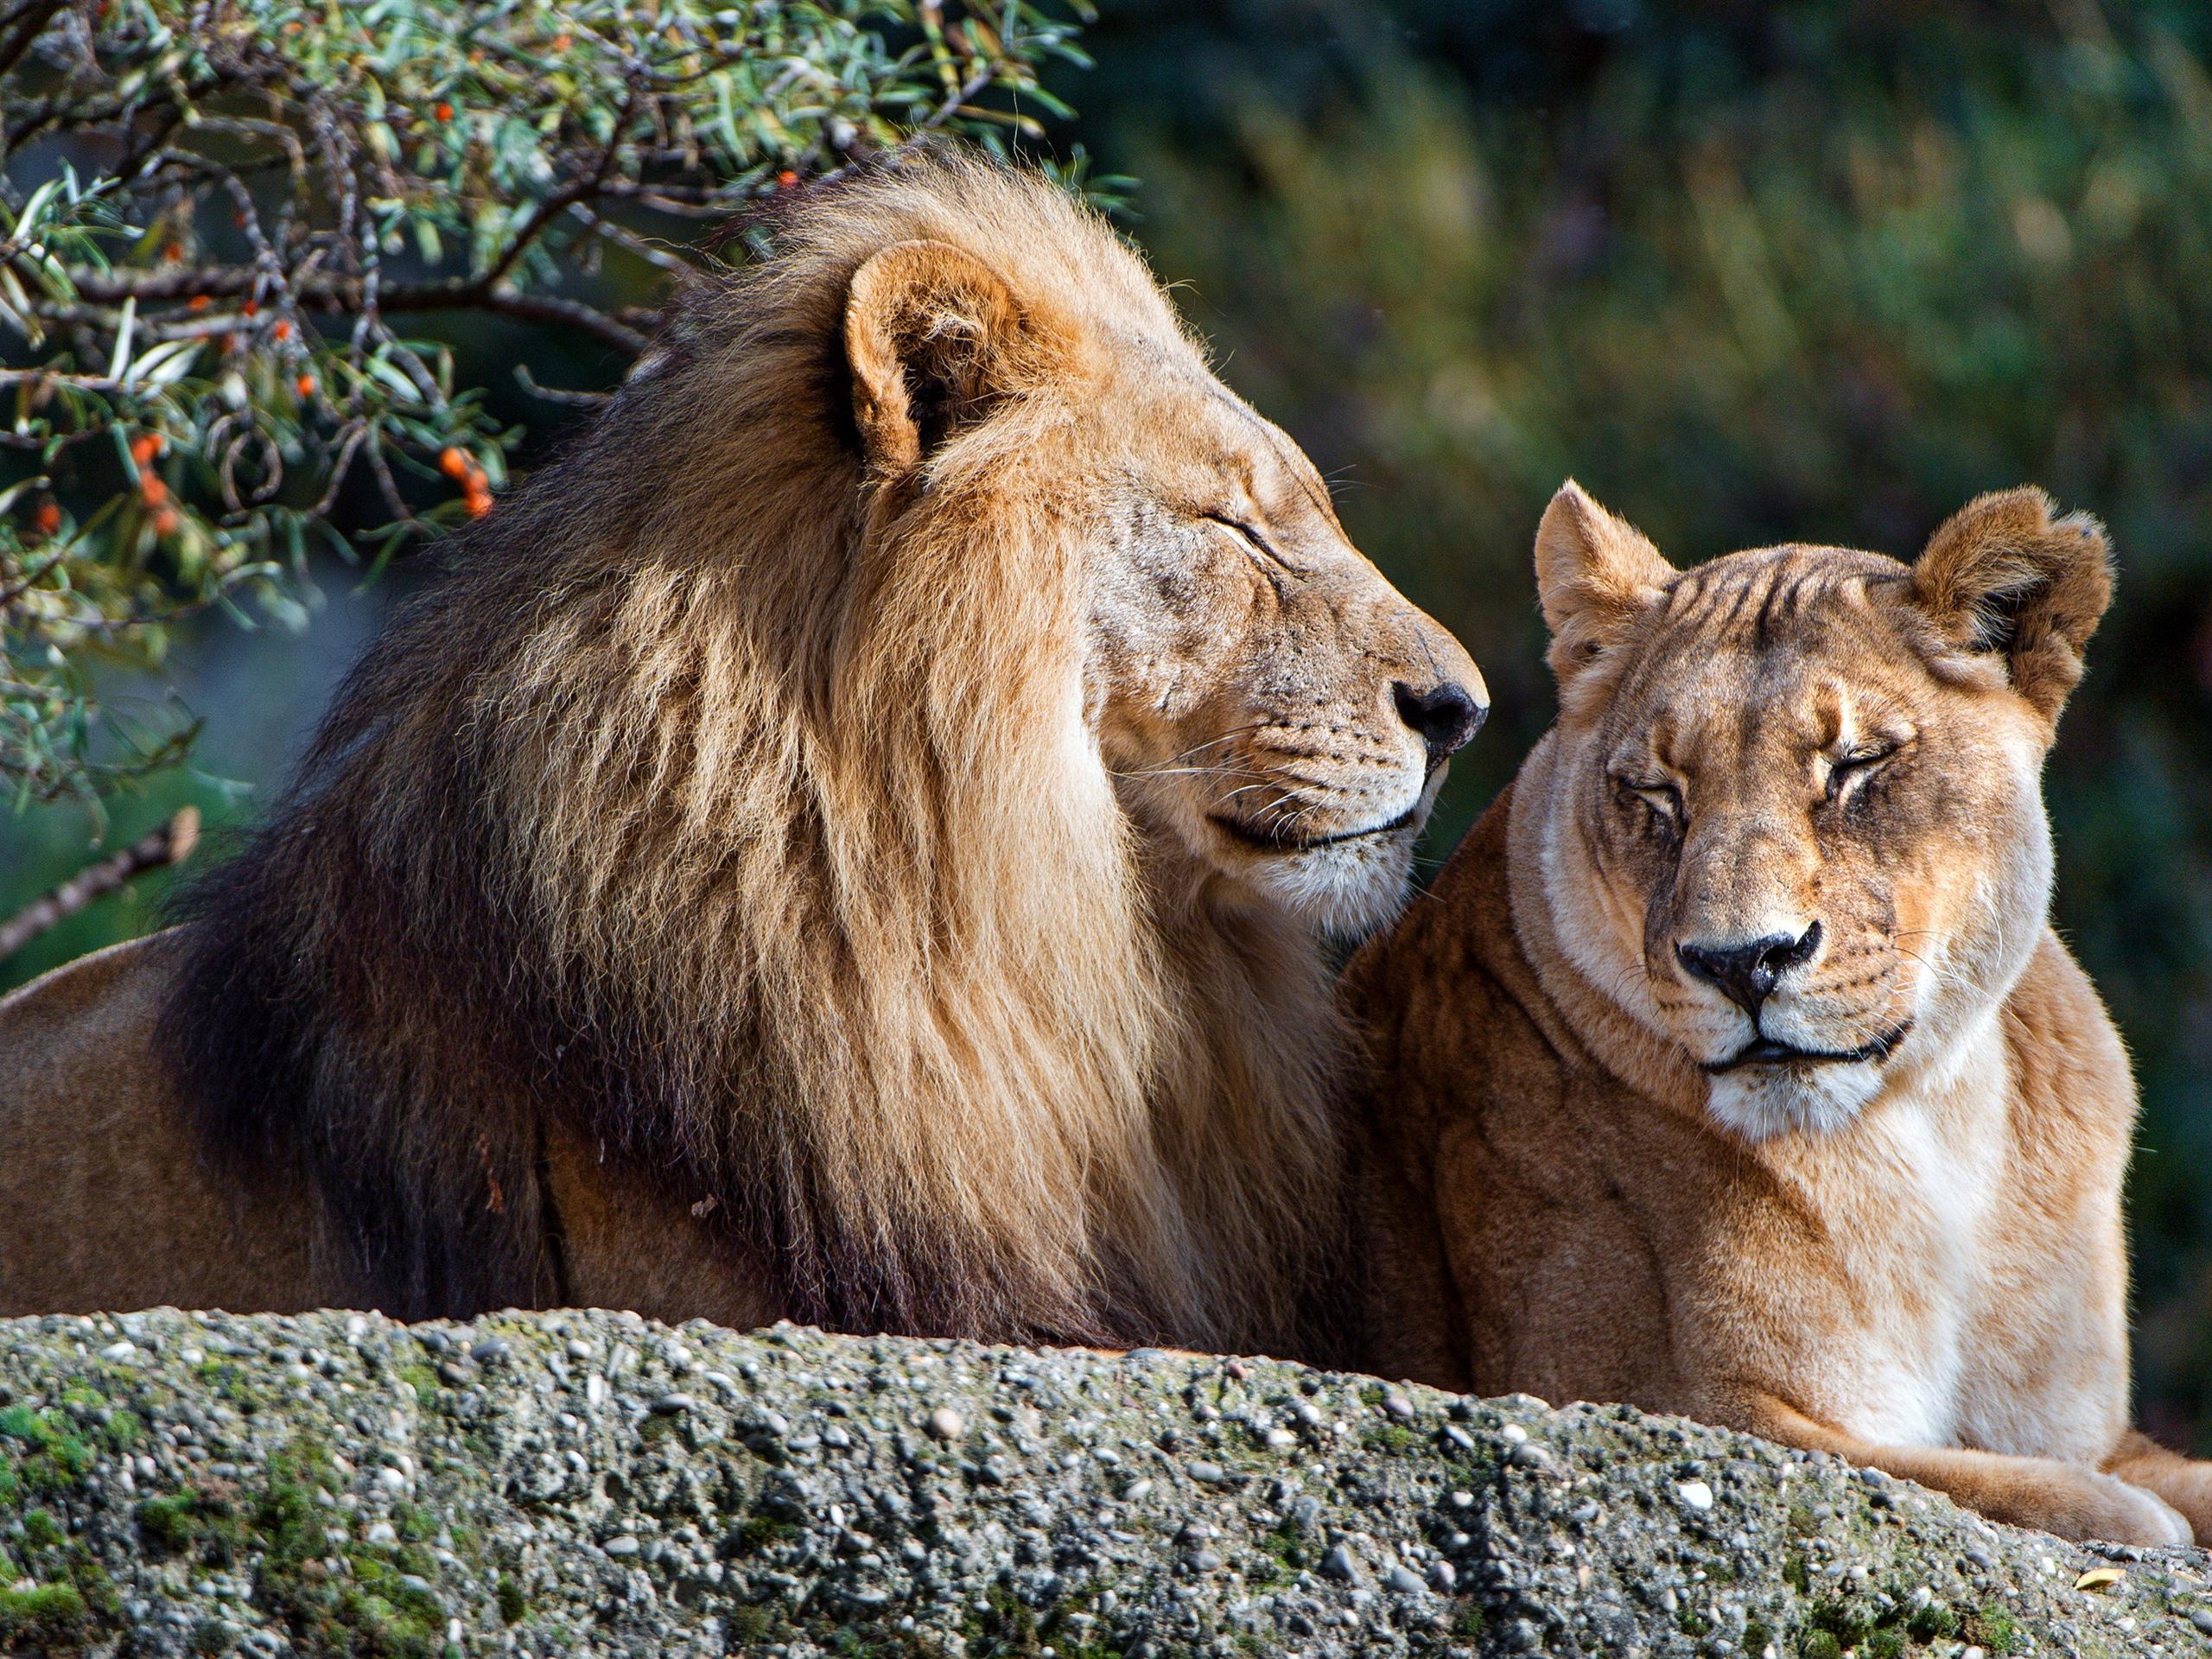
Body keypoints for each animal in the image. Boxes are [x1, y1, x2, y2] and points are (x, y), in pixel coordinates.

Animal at [1344, 480, 2212, 1548]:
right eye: (1657, 792)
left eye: (1855, 764)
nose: (1740, 962)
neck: (1928, 1134)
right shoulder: (1663, 1400)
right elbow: (1979, 1481)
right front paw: (2120, 1516)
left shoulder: (2095, 1427)